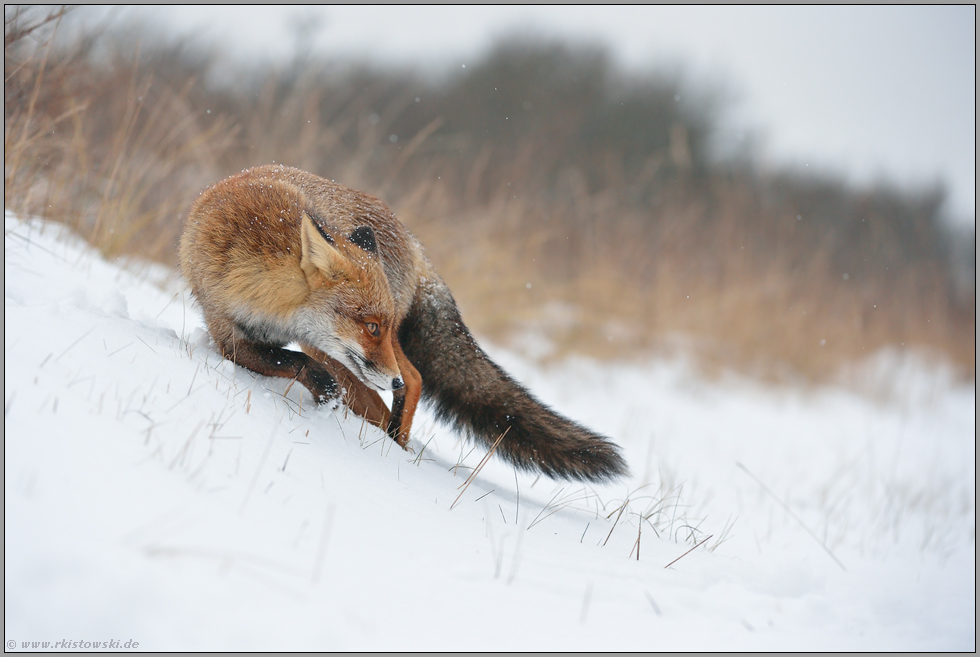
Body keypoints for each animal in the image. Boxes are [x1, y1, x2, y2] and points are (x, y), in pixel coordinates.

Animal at [179, 164, 628, 482]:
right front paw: (324, 392)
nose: (390, 379)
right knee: (379, 395)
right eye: (370, 326)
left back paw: (396, 443)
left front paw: (329, 400)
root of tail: (412, 240)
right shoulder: (229, 337)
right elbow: (291, 362)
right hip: (345, 356)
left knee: (414, 380)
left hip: (364, 355)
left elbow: (304, 366)